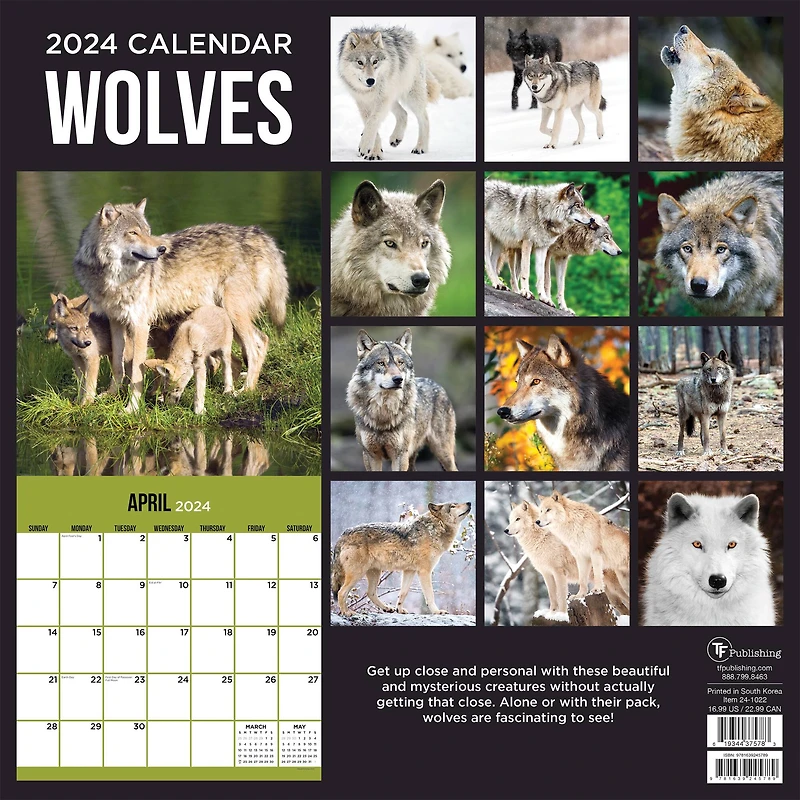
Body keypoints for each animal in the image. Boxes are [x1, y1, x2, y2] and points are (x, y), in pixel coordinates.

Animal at [72, 198, 288, 412]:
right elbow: (118, 365)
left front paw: (132, 408)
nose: (161, 250)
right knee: (262, 340)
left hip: (233, 314)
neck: (115, 279)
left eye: (147, 231)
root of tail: (257, 233)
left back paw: (246, 389)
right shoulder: (115, 321)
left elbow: (135, 373)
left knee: (255, 347)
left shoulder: (141, 325)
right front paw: (110, 394)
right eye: (133, 232)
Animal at [331, 501, 471, 616]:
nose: (469, 502)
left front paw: (399, 610)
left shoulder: (409, 571)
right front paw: (437, 611)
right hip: (357, 573)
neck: (435, 528)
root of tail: (342, 535)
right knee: (341, 593)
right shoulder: (424, 572)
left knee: (370, 593)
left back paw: (386, 608)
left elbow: (403, 594)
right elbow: (430, 595)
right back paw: (346, 612)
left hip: (374, 572)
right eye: (453, 506)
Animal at [338, 26, 440, 160]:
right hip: (392, 99)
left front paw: (366, 146)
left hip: (410, 96)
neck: (369, 90)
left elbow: (372, 122)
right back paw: (396, 138)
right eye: (360, 62)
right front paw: (375, 152)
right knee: (404, 113)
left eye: (375, 61)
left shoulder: (382, 100)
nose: (371, 80)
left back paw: (421, 147)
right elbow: (370, 124)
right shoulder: (363, 103)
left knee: (424, 118)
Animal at [346, 329, 457, 471]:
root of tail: (438, 385)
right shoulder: (370, 455)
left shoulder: (399, 455)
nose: (398, 379)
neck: (383, 413)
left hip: (443, 454)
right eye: (381, 363)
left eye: (400, 362)